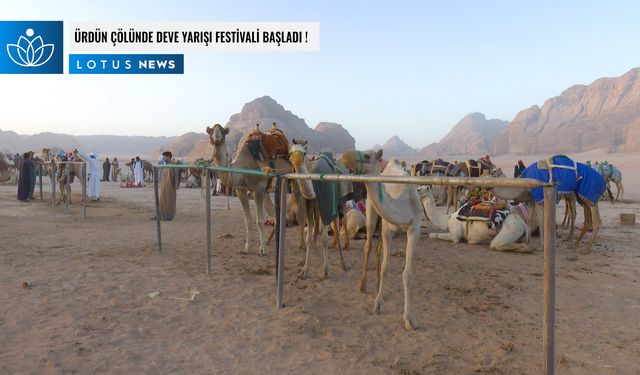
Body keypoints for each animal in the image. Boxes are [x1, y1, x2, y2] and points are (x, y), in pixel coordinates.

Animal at [206, 123, 288, 256]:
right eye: (211, 131)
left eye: (223, 132)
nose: (216, 139)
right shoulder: (241, 191)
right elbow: (248, 220)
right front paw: (247, 248)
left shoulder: (258, 189)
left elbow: (259, 221)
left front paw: (264, 251)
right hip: (270, 189)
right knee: (275, 212)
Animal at [340, 151, 424, 332]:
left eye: (367, 155)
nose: (344, 156)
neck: (402, 202)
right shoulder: (387, 228)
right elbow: (386, 267)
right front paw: (378, 304)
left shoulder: (414, 228)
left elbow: (407, 274)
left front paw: (409, 319)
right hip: (372, 212)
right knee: (368, 245)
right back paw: (363, 285)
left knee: (378, 250)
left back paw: (378, 286)